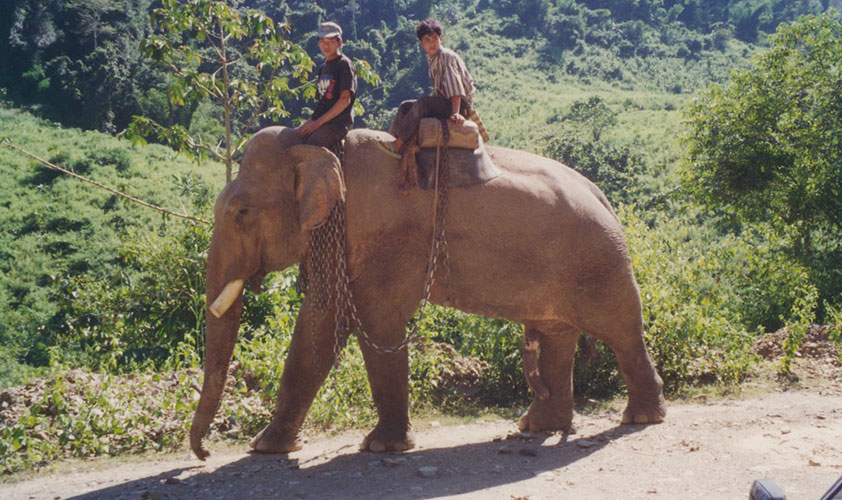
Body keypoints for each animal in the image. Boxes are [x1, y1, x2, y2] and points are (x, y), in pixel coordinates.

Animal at [189, 126, 664, 460]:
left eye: (242, 212)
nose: (204, 453)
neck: (319, 145)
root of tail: (602, 195)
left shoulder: (383, 241)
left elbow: (374, 322)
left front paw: (383, 447)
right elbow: (318, 326)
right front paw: (266, 448)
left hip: (601, 261)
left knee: (622, 331)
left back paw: (641, 417)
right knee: (557, 335)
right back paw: (538, 427)